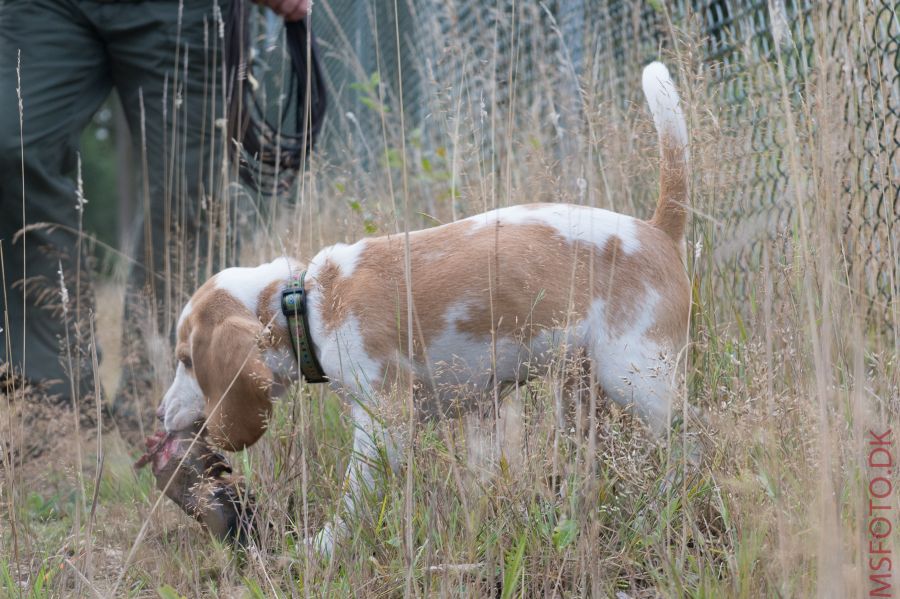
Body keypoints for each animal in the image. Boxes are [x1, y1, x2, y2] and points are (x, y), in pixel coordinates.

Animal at [156, 62, 688, 552]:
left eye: (187, 361)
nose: (161, 413)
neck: (307, 301)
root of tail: (656, 230)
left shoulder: (382, 422)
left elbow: (355, 497)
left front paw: (322, 546)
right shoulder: (481, 411)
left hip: (638, 380)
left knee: (688, 444)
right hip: (583, 391)